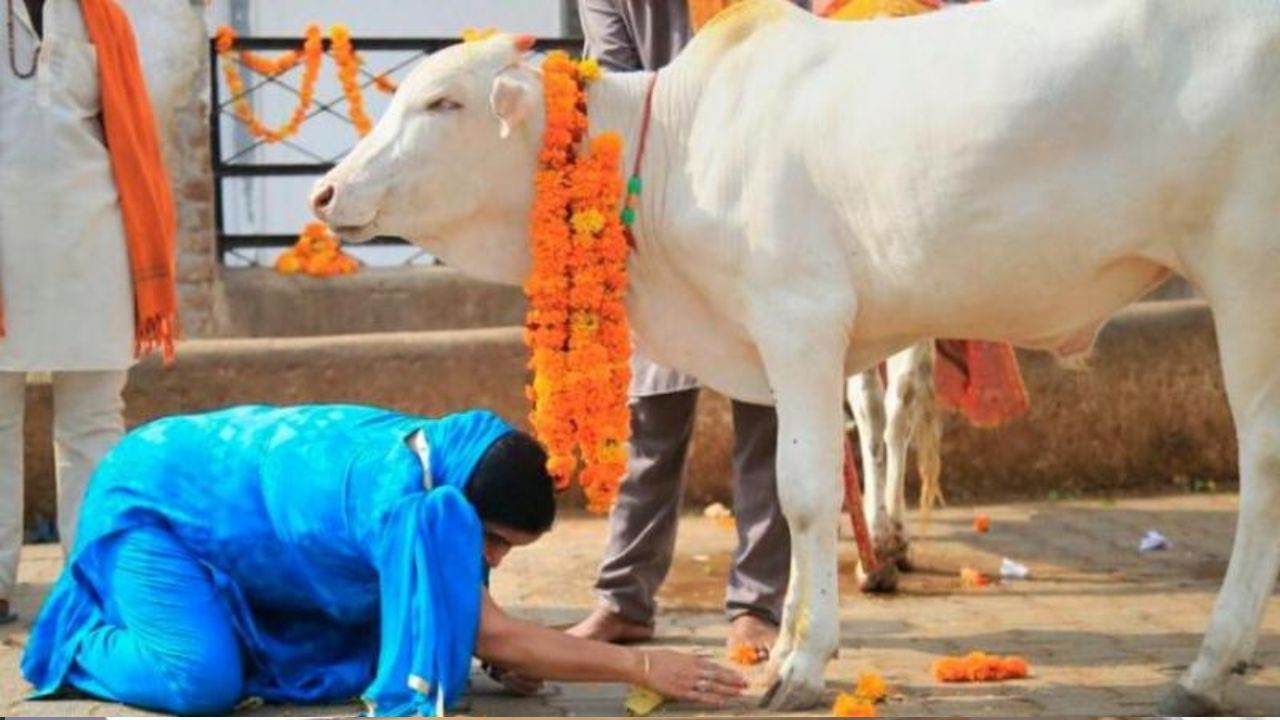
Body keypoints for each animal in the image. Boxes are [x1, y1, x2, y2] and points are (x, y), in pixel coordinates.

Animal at [312, 0, 1280, 707]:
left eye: (444, 102)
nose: (325, 193)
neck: (672, 151)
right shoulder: (782, 348)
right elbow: (788, 494)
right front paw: (779, 646)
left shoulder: (802, 320)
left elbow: (805, 494)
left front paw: (804, 666)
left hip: (1248, 277)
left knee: (1263, 463)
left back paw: (1208, 665)